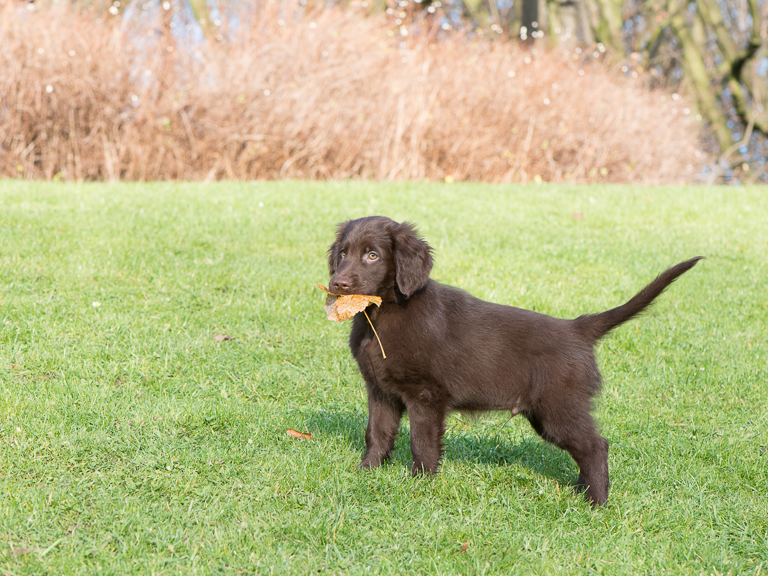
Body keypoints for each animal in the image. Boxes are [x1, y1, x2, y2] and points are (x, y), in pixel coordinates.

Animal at [328, 216, 700, 504]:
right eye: (343, 253)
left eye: (373, 255)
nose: (337, 282)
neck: (382, 315)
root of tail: (576, 328)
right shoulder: (380, 391)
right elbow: (377, 434)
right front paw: (366, 472)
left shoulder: (425, 396)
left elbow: (422, 443)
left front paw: (420, 484)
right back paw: (582, 491)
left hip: (558, 408)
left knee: (596, 447)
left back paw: (597, 503)